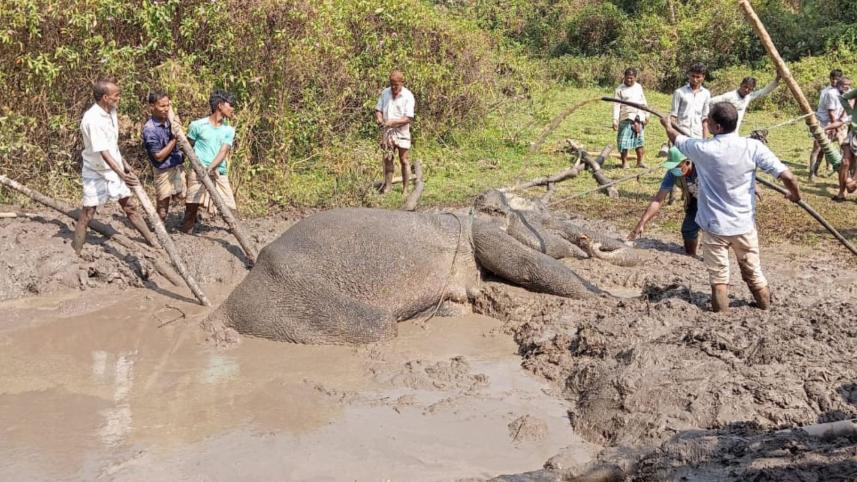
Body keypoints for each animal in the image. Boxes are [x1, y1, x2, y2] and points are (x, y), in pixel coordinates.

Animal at [207, 190, 641, 345]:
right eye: (545, 217)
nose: (587, 241)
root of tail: (224, 307)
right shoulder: (482, 233)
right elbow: (530, 265)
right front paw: (614, 296)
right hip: (289, 297)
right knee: (380, 327)